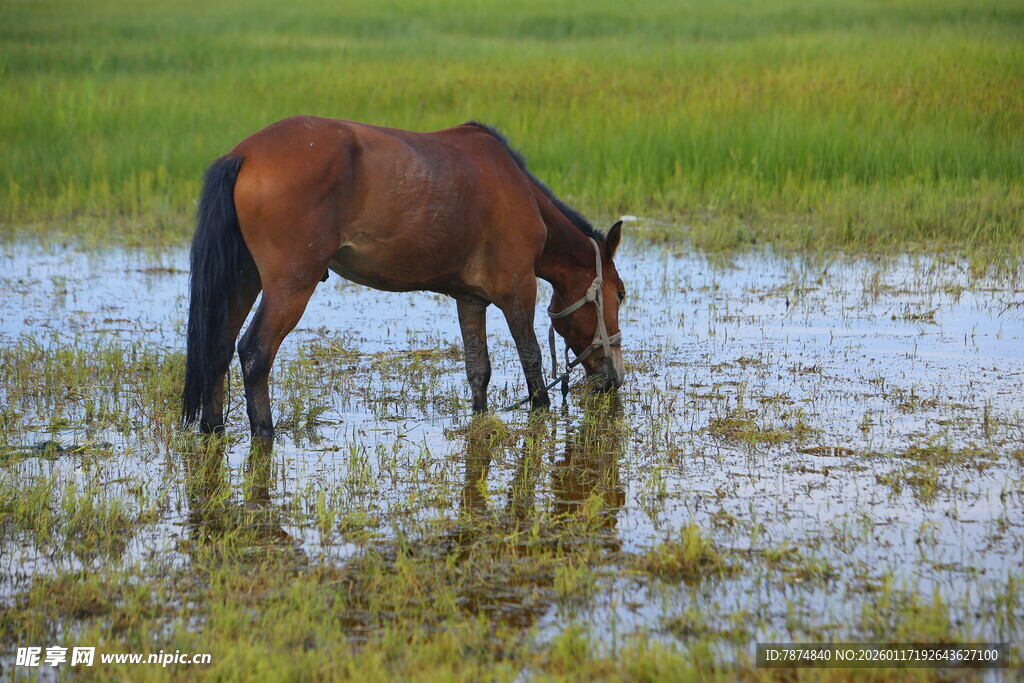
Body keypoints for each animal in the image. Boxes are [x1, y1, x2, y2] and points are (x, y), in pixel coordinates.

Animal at [181, 116, 626, 438]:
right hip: (290, 285)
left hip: (243, 280)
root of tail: (244, 154)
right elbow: (531, 358)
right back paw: (264, 432)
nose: (613, 378)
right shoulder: (518, 288)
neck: (519, 190)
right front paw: (541, 413)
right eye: (620, 294)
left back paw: (213, 429)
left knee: (218, 348)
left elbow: (478, 369)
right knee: (255, 352)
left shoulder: (470, 299)